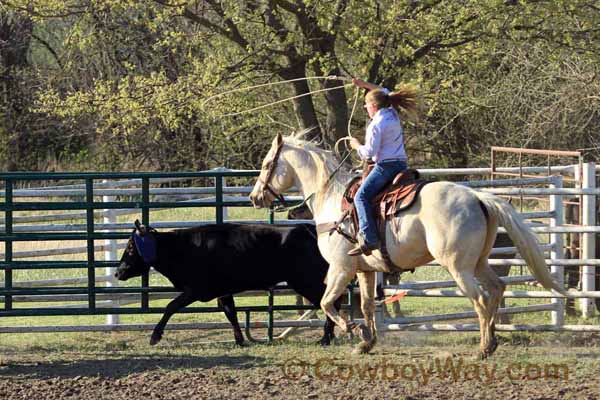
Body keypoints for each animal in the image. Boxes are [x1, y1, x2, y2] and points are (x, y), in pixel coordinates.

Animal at [250, 133, 568, 358]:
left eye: (267, 165)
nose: (254, 197)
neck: (333, 196)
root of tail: (478, 197)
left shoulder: (341, 267)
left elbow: (327, 302)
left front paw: (351, 329)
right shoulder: (365, 269)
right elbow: (366, 305)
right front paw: (366, 343)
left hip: (459, 267)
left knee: (480, 299)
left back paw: (484, 348)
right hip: (478, 262)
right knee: (497, 289)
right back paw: (493, 340)